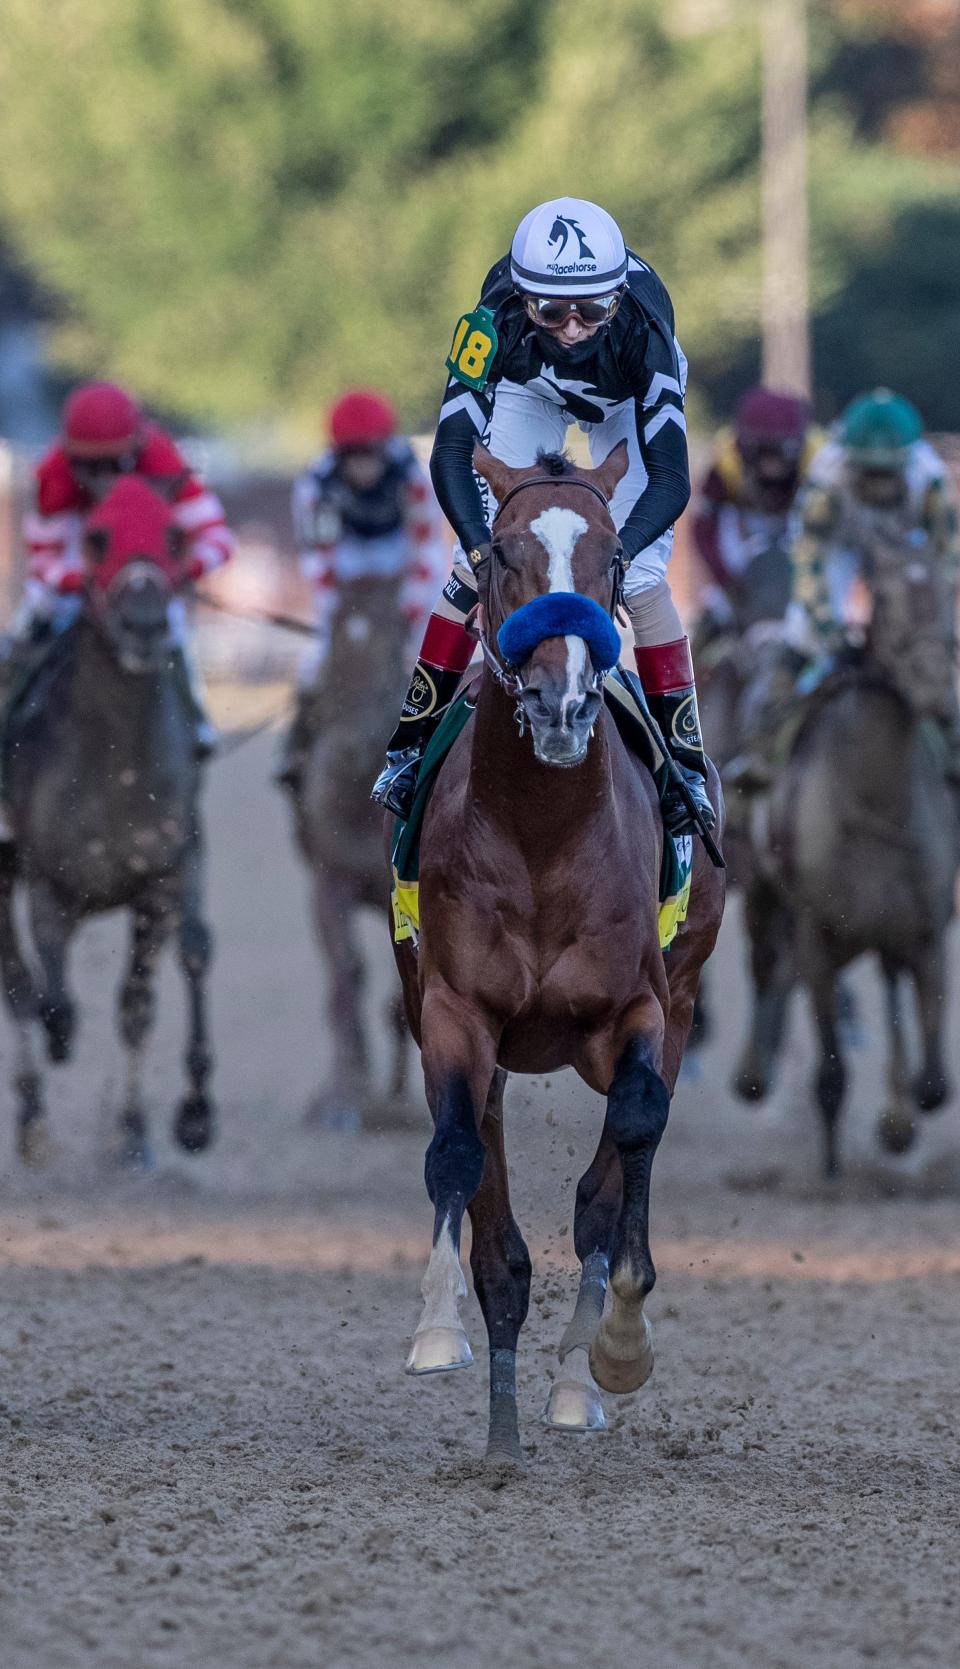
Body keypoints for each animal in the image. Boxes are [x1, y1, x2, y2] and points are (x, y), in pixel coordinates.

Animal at [0, 477, 213, 1168]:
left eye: (172, 532)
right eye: (95, 535)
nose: (145, 622)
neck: (118, 767)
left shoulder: (164, 877)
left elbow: (146, 998)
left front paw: (156, 1127)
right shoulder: (49, 883)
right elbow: (52, 999)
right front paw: (60, 1040)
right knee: (18, 984)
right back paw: (34, 1123)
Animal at [387, 447, 724, 1475]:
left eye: (612, 557)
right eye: (500, 551)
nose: (562, 704)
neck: (543, 835)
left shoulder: (640, 1012)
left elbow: (627, 1150)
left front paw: (615, 1348)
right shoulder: (455, 1013)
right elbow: (458, 1160)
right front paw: (444, 1333)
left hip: (682, 995)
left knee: (613, 1172)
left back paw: (578, 1380)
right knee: (486, 1189)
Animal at [731, 514, 954, 1181]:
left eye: (946, 589)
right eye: (886, 598)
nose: (938, 689)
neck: (875, 800)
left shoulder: (926, 931)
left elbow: (936, 1084)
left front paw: (898, 1123)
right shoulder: (816, 931)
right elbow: (830, 1070)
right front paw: (831, 1168)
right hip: (762, 899)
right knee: (765, 966)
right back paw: (752, 1073)